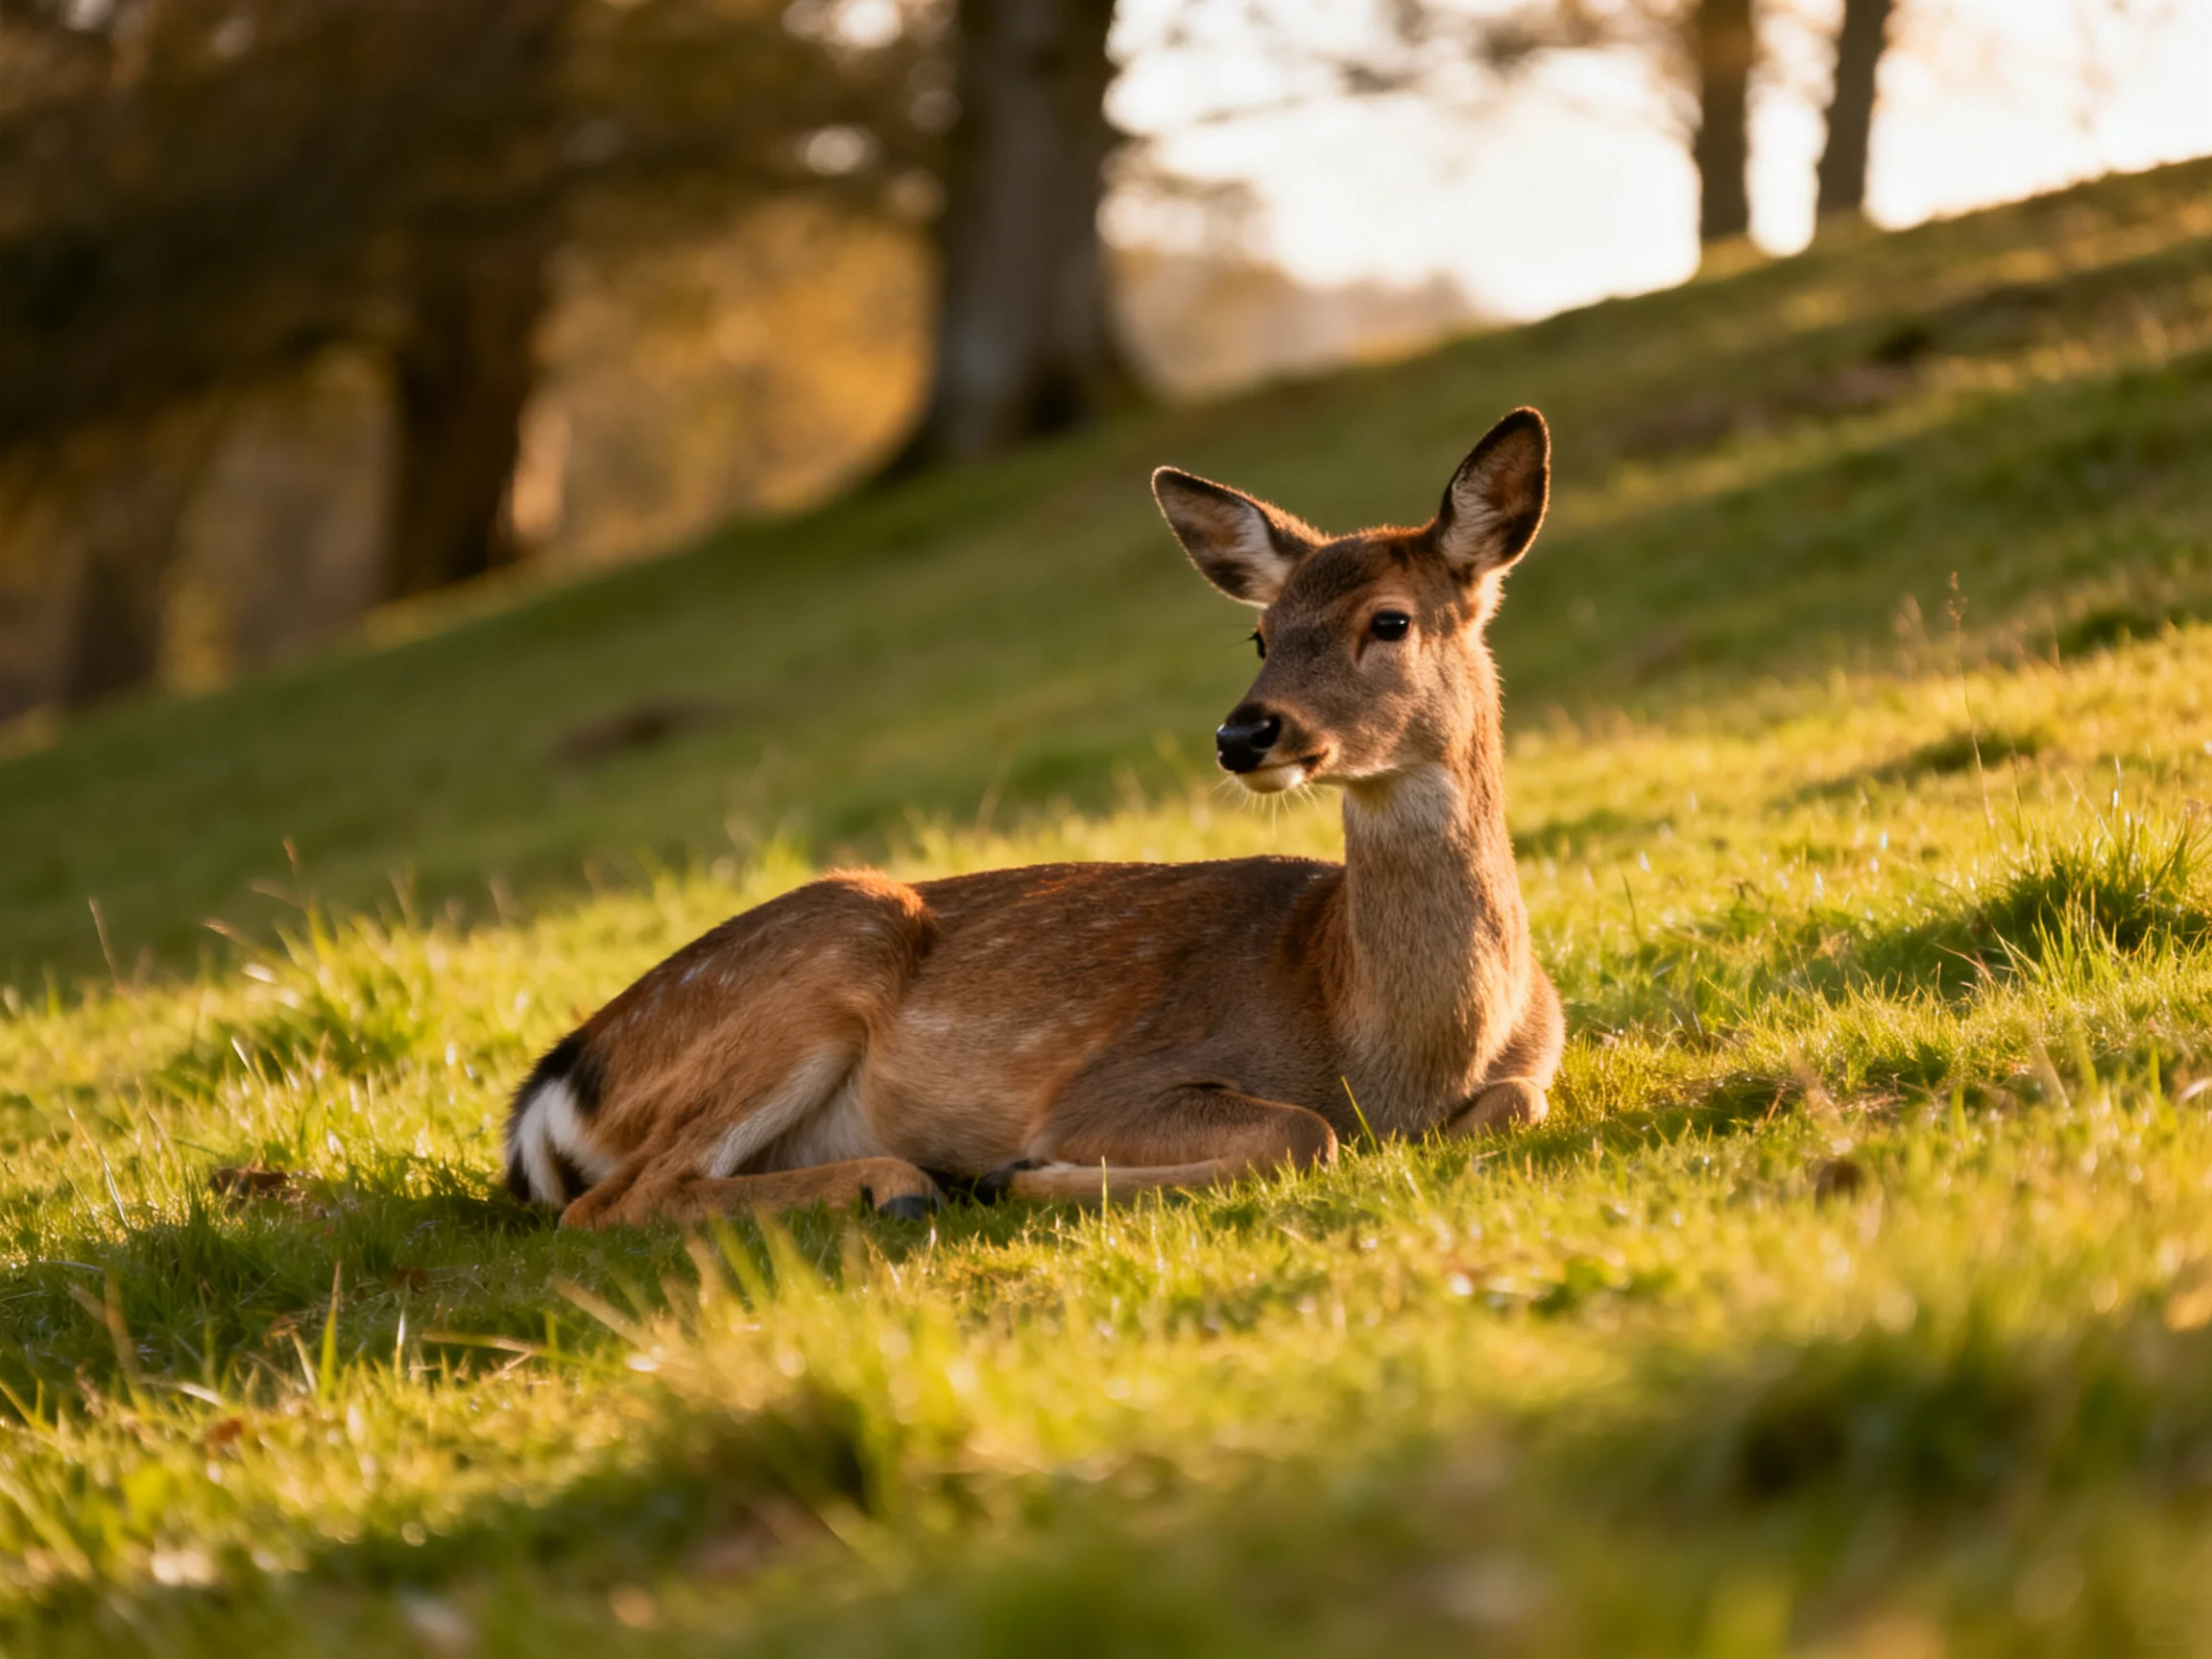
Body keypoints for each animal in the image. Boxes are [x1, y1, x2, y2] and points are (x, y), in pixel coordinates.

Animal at [504, 407, 1564, 1226]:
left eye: (1389, 620)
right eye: (1261, 634)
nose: (1243, 733)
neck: (1390, 1057)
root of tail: (549, 1092)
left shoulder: (1536, 1061)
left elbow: (1513, 1102)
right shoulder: (1108, 1084)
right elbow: (1304, 1131)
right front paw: (1020, 1174)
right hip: (827, 949)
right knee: (615, 1201)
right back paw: (904, 1183)